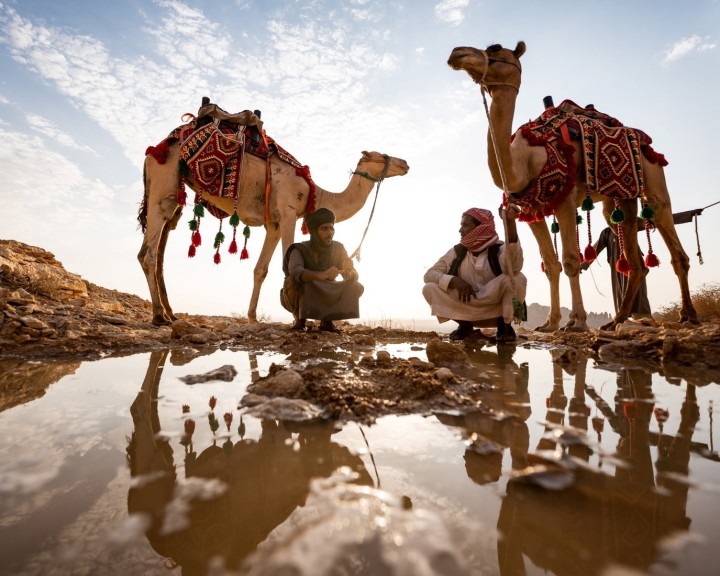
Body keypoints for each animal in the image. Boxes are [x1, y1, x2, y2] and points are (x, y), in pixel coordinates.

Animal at [138, 116, 409, 325]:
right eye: (383, 155)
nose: (405, 163)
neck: (315, 193)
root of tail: (153, 151)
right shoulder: (289, 214)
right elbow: (289, 267)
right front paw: (297, 318)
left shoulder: (274, 224)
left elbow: (261, 269)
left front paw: (252, 316)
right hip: (165, 180)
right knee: (150, 252)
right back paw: (159, 316)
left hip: (171, 191)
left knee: (156, 249)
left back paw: (170, 313)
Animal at [447, 41, 698, 331]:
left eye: (495, 48)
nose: (457, 52)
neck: (524, 161)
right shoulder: (532, 210)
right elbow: (551, 265)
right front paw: (550, 322)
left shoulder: (565, 200)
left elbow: (570, 261)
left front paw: (577, 321)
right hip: (617, 199)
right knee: (635, 258)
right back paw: (615, 321)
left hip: (652, 173)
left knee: (668, 233)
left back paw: (688, 315)